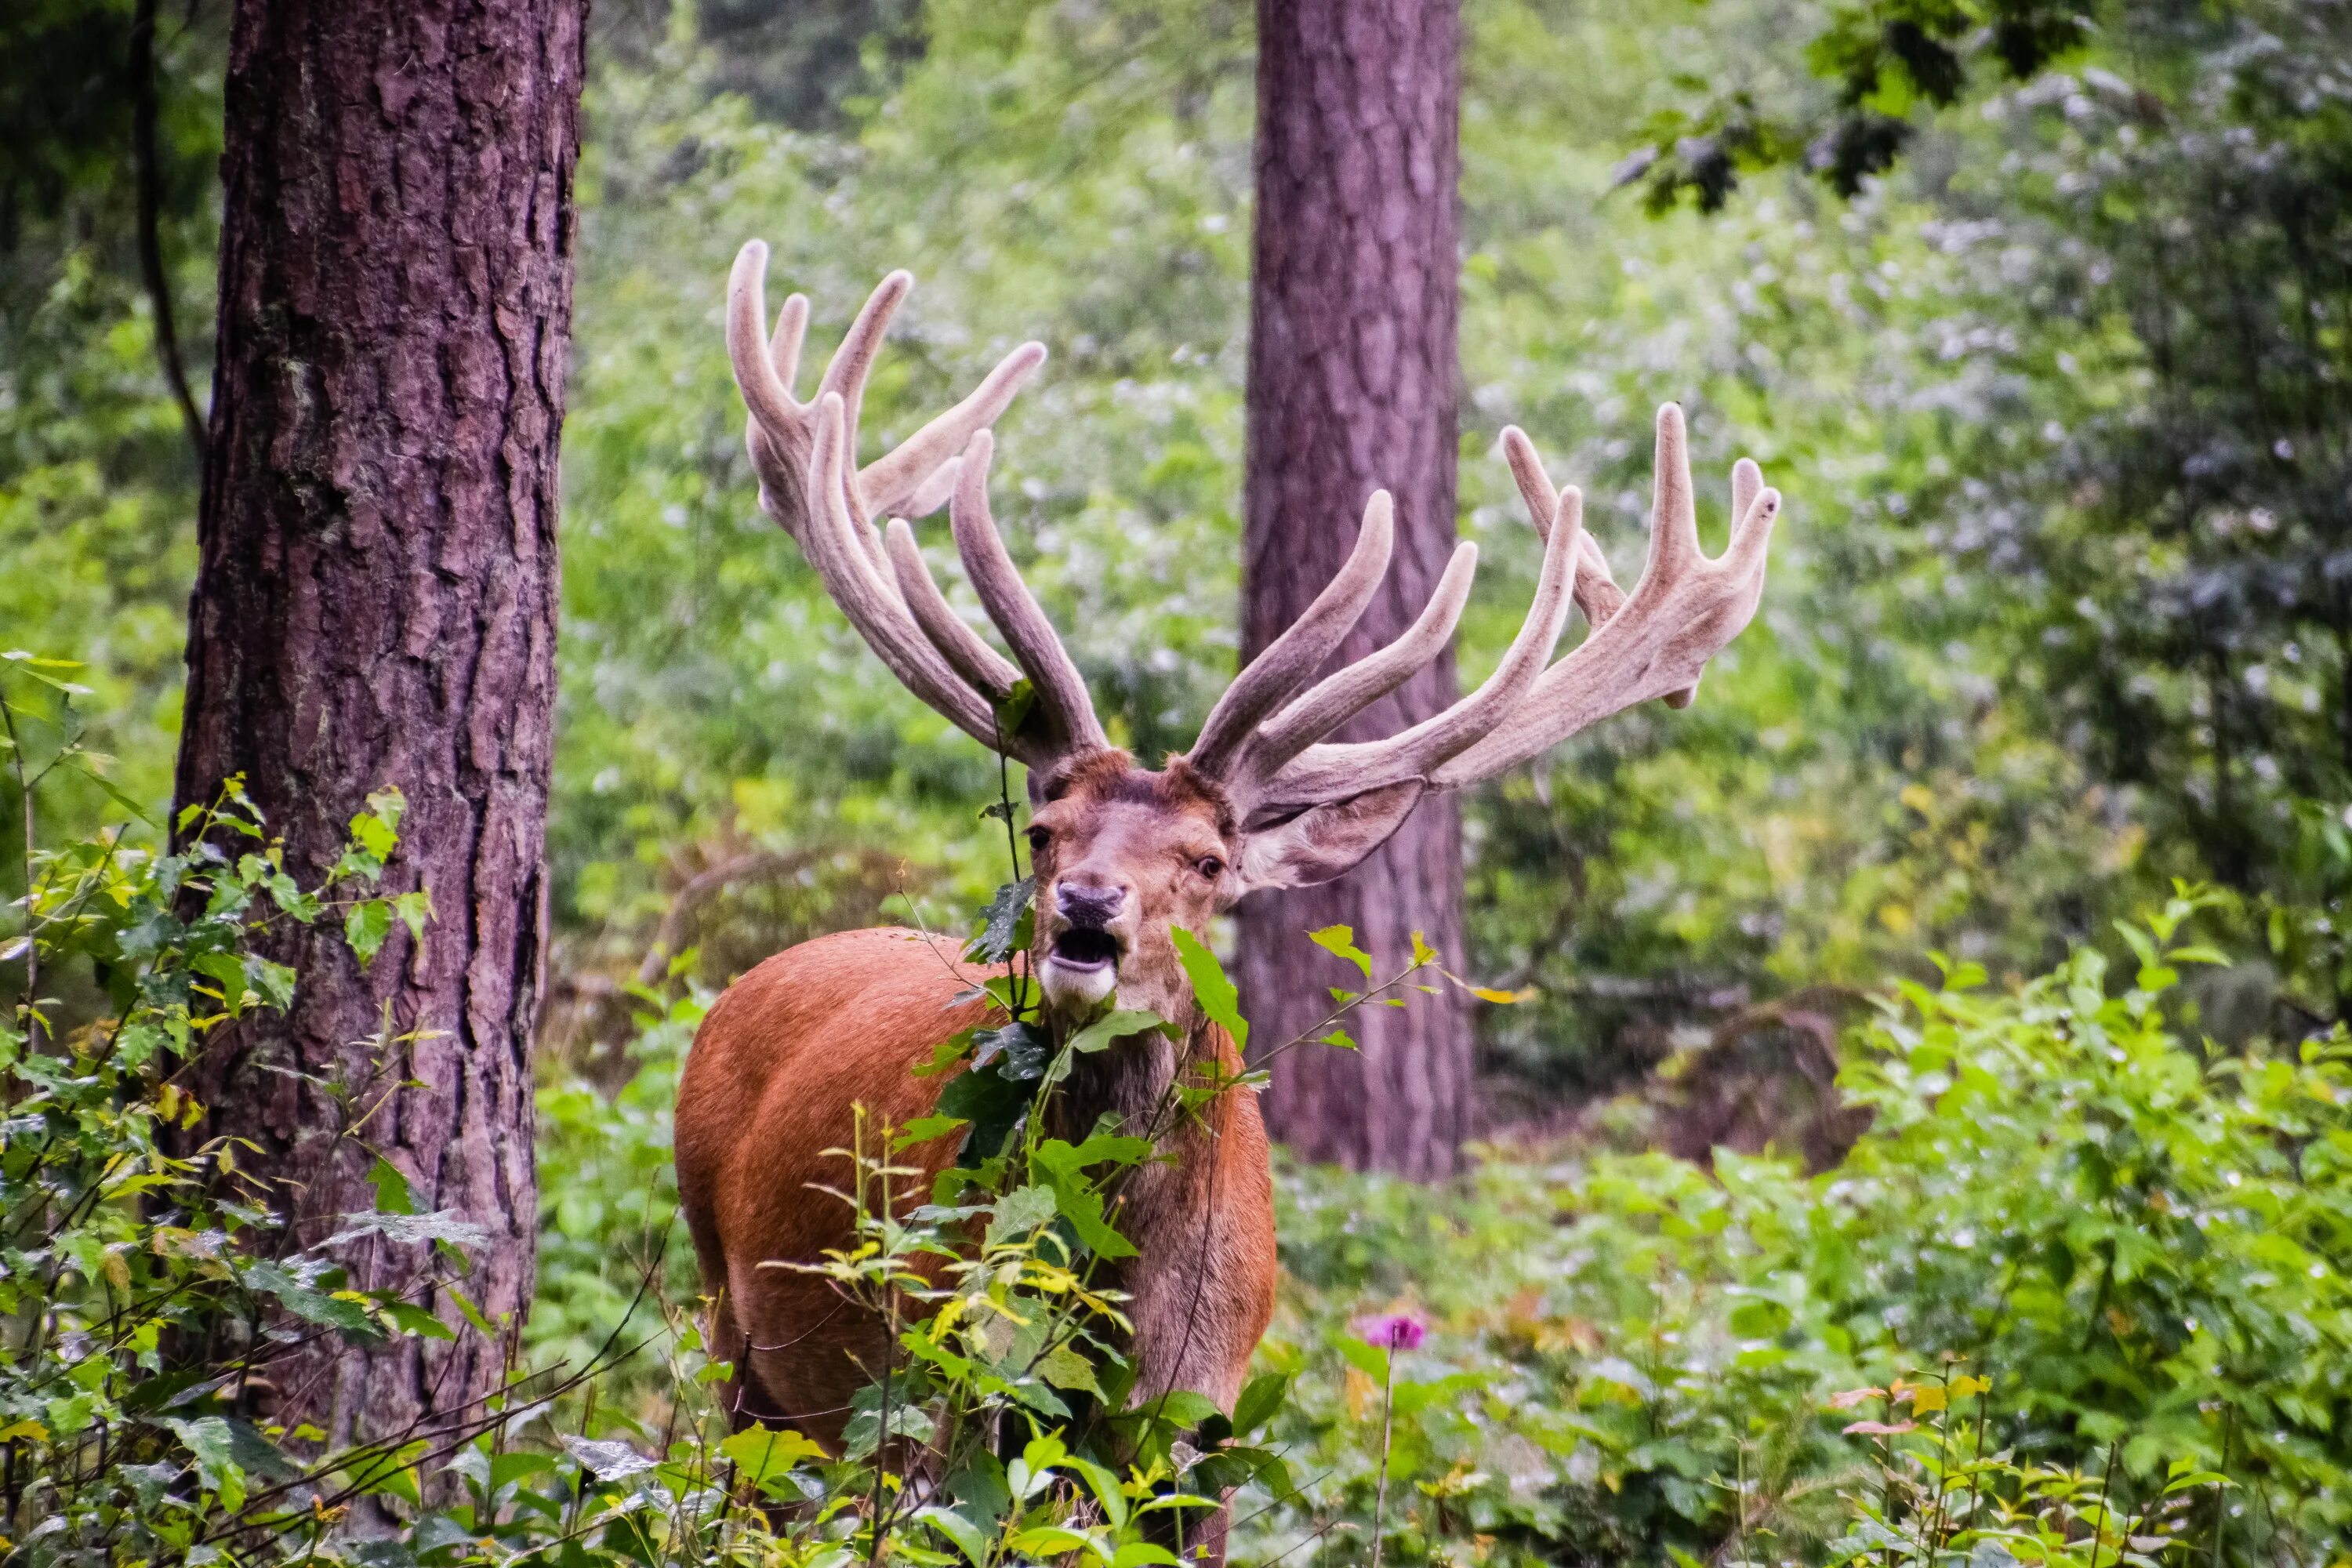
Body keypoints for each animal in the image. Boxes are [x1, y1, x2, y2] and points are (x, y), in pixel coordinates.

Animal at [668, 245, 1778, 1561]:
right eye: (1045, 829)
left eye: (1206, 861)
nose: (1087, 910)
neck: (1115, 1308)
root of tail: (744, 988)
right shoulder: (935, 1388)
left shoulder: (1203, 1427)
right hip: (739, 1330)